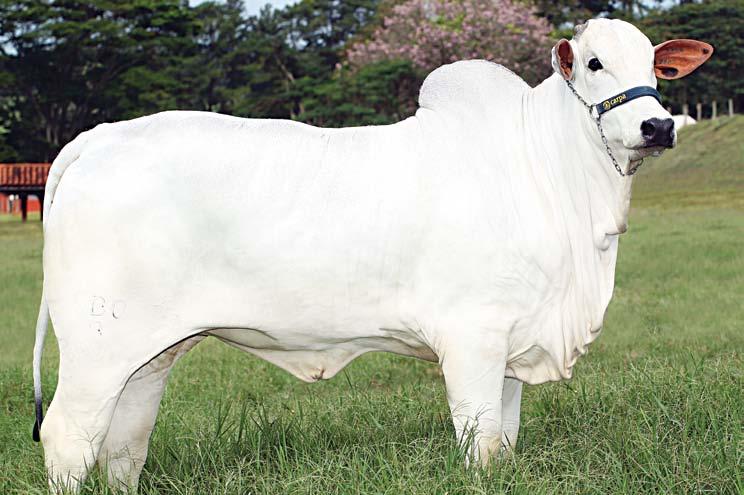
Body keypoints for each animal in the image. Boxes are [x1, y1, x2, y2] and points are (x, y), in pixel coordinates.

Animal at [33, 18, 708, 492]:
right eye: (594, 62)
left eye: (656, 66)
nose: (657, 126)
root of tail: (102, 137)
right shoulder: (473, 338)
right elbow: (483, 447)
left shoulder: (515, 345)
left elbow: (507, 442)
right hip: (96, 344)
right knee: (70, 435)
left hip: (150, 352)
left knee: (124, 440)